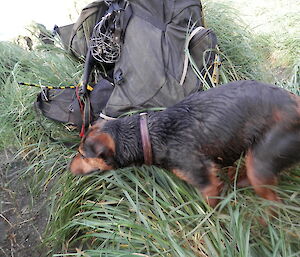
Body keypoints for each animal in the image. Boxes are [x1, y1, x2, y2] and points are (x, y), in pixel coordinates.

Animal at [69, 80, 300, 206]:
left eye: (82, 154)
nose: (69, 167)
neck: (150, 135)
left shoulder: (206, 184)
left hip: (261, 162)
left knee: (274, 203)